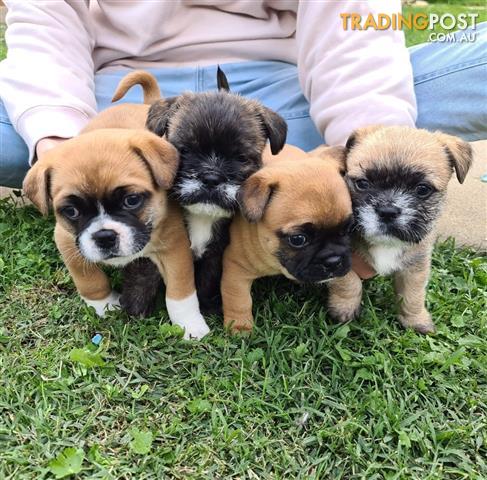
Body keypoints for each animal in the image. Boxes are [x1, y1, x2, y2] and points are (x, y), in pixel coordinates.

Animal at [22, 129, 211, 340]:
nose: (104, 237)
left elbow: (180, 292)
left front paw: (190, 324)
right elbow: (90, 282)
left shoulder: (174, 249)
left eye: (132, 200)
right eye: (71, 211)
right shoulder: (68, 244)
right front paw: (105, 305)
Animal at [114, 67, 290, 316]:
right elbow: (144, 272)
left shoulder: (215, 254)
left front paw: (206, 305)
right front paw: (135, 306)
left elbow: (207, 279)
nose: (211, 177)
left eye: (241, 158)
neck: (202, 217)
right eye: (185, 151)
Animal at [222, 146, 354, 334]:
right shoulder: (236, 270)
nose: (333, 261)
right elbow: (239, 301)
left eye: (349, 229)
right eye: (298, 239)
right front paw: (240, 327)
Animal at [322, 124, 474, 334]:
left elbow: (413, 295)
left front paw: (415, 320)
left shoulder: (415, 268)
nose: (387, 211)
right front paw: (344, 309)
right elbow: (349, 282)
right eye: (362, 184)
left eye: (422, 189)